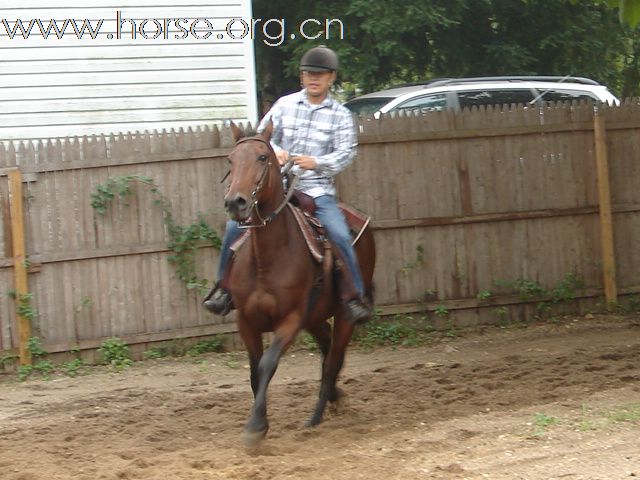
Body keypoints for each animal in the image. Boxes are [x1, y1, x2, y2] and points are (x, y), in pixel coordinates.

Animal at [224, 121, 376, 446]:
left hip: (343, 316)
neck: (266, 259)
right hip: (315, 317)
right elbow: (255, 371)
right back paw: (335, 399)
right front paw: (259, 423)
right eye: (231, 160)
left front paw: (256, 427)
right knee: (327, 349)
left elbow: (268, 364)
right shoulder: (247, 322)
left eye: (262, 158)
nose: (235, 202)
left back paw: (315, 418)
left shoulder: (290, 320)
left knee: (332, 361)